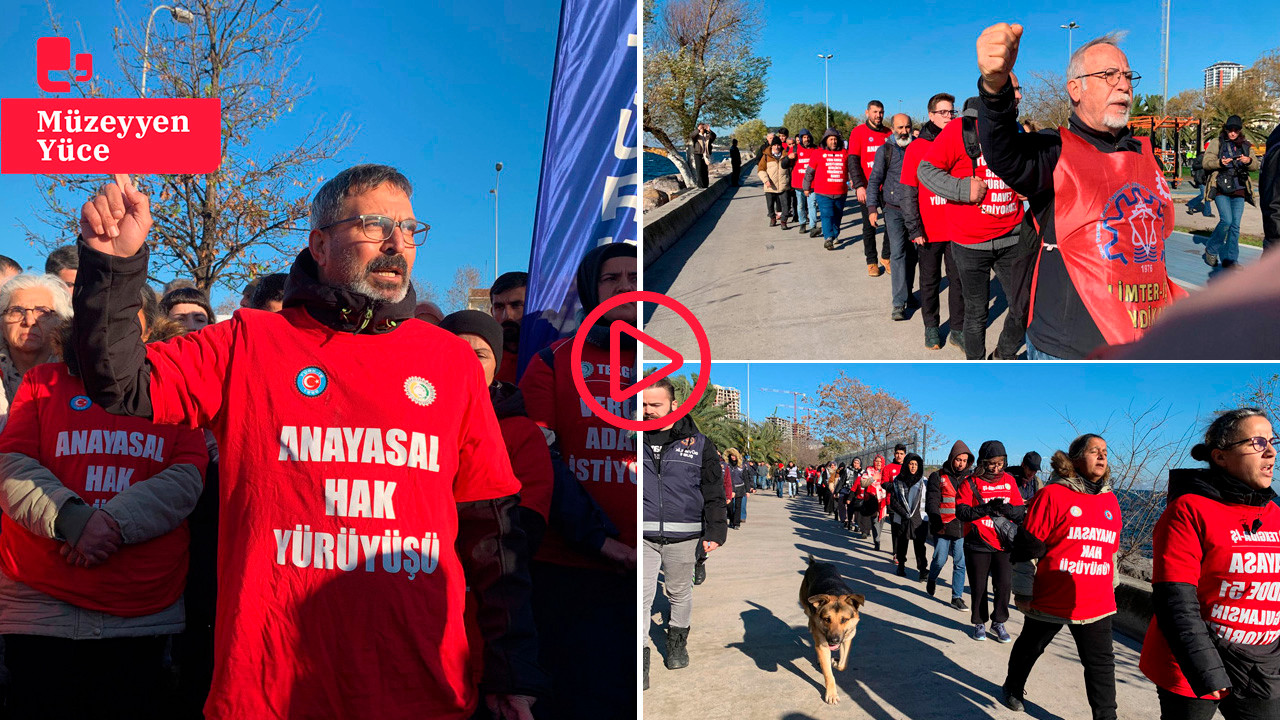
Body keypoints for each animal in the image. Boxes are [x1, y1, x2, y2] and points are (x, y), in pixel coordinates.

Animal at [798, 556, 870, 702]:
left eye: (844, 620)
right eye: (827, 619)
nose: (833, 640)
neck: (835, 592)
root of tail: (816, 563)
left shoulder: (847, 639)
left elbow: (843, 664)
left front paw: (836, 663)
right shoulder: (823, 645)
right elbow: (828, 674)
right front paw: (831, 694)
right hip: (805, 603)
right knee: (808, 614)